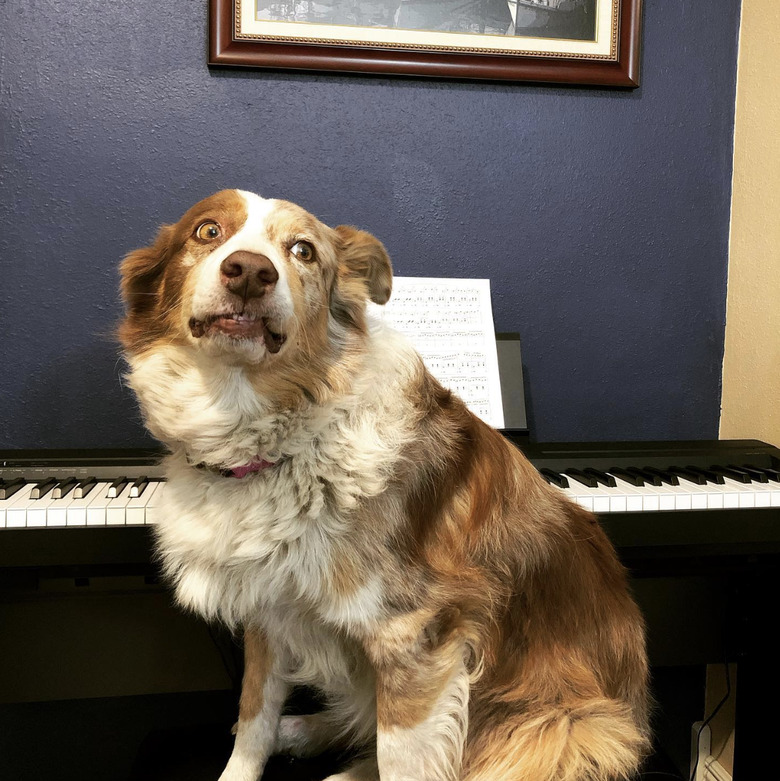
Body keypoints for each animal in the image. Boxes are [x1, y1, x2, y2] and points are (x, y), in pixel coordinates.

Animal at [119, 190, 648, 780]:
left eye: (303, 250)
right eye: (207, 230)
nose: (251, 272)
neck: (271, 436)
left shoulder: (415, 633)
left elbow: (400, 760)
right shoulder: (267, 611)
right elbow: (253, 718)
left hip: (571, 727)